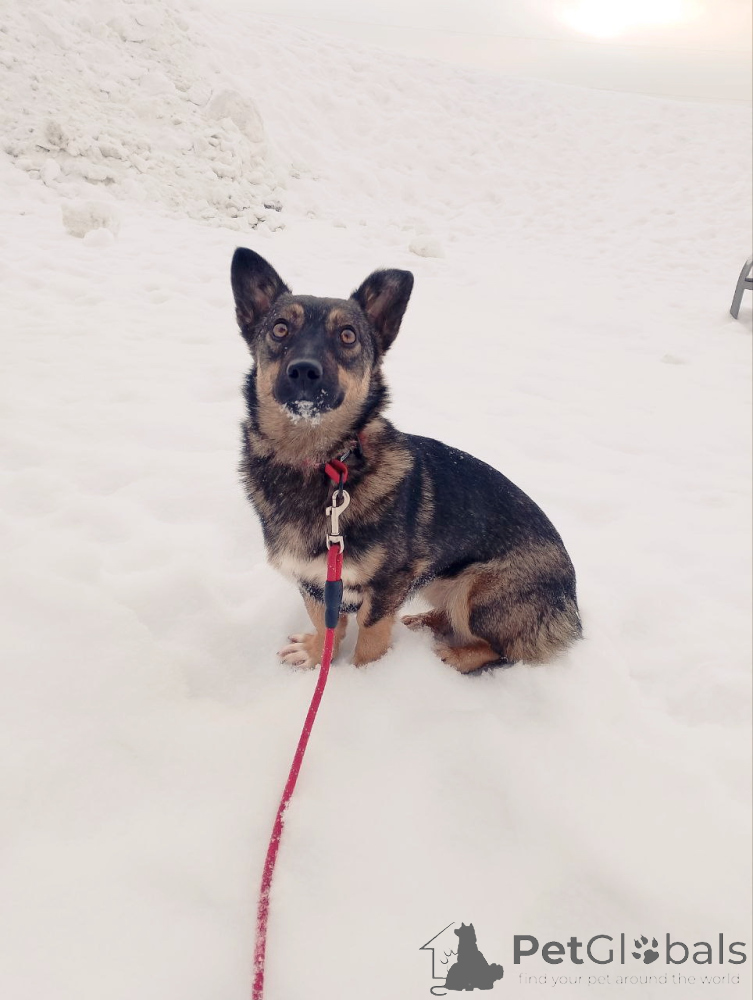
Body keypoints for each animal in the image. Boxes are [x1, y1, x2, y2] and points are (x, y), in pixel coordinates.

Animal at [231, 247, 581, 673]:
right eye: (280, 329)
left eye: (347, 335)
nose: (304, 371)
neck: (321, 461)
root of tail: (572, 609)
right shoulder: (315, 581)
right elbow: (325, 623)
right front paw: (317, 654)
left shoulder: (386, 586)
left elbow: (370, 639)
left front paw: (364, 680)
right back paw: (426, 623)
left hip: (476, 588)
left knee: (502, 651)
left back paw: (453, 655)